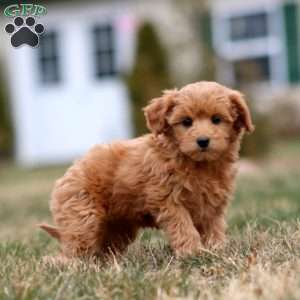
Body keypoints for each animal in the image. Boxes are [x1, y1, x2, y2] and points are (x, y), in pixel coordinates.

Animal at [40, 81, 253, 258]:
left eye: (217, 119)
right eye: (186, 122)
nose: (202, 141)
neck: (198, 165)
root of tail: (65, 177)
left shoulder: (212, 206)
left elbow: (213, 228)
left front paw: (216, 249)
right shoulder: (169, 202)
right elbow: (184, 227)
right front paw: (192, 252)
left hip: (117, 228)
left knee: (104, 249)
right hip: (83, 220)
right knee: (70, 253)